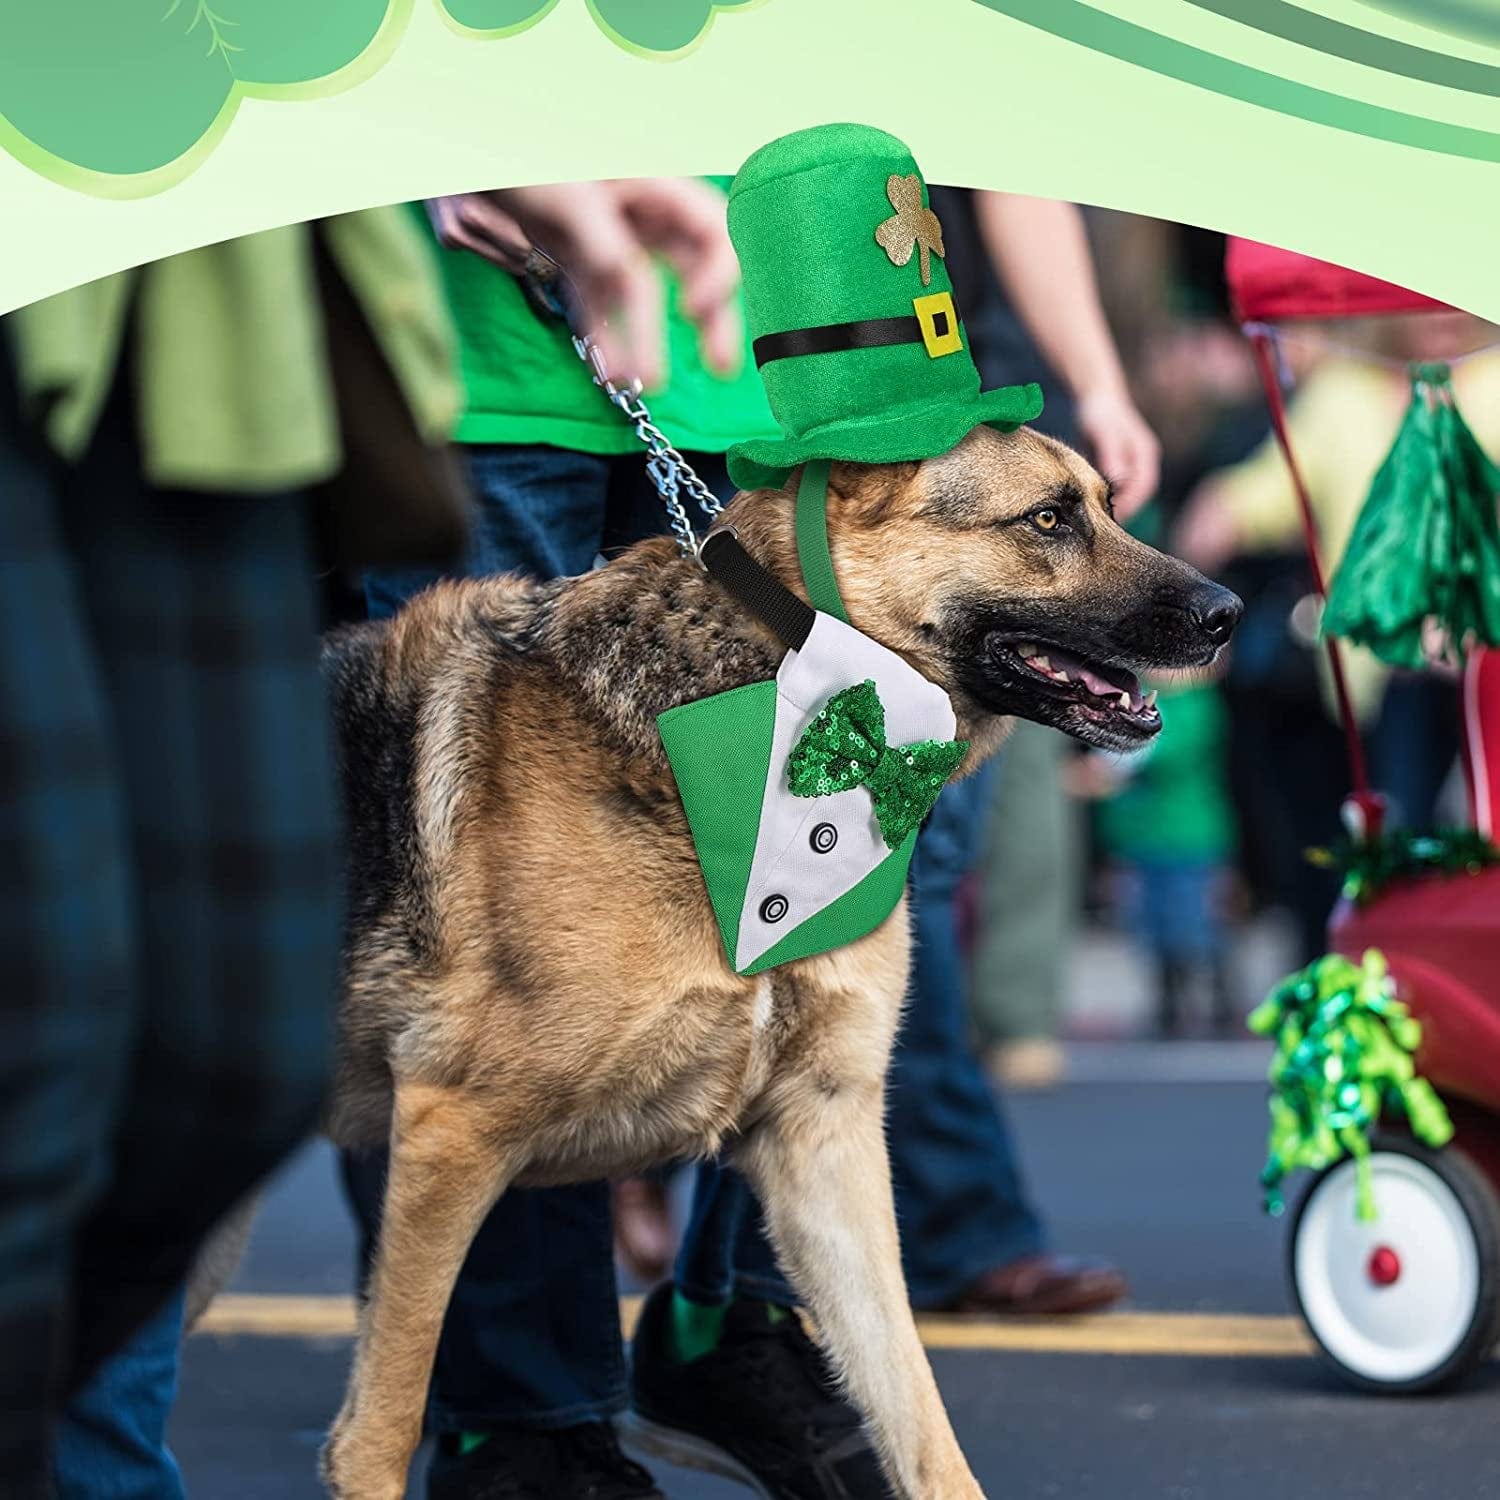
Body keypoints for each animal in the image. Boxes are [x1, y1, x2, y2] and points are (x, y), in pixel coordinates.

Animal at [319, 426, 1242, 1500]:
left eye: (1107, 502)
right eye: (1047, 518)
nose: (1230, 614)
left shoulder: (820, 1137)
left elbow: (914, 1408)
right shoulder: (452, 1132)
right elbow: (382, 1421)